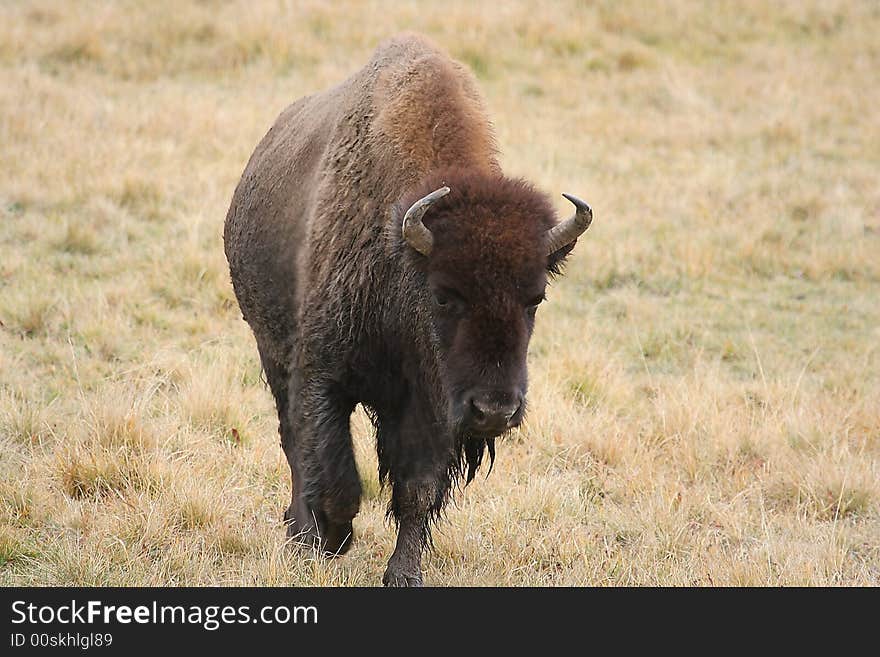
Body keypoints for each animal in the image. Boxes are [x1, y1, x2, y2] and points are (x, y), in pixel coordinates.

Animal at [222, 33, 592, 584]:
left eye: (536, 298)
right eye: (443, 295)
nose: (495, 409)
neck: (401, 251)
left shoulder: (433, 406)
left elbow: (418, 489)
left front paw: (403, 572)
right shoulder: (323, 374)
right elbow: (334, 473)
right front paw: (330, 538)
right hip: (272, 352)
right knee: (292, 441)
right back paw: (300, 531)